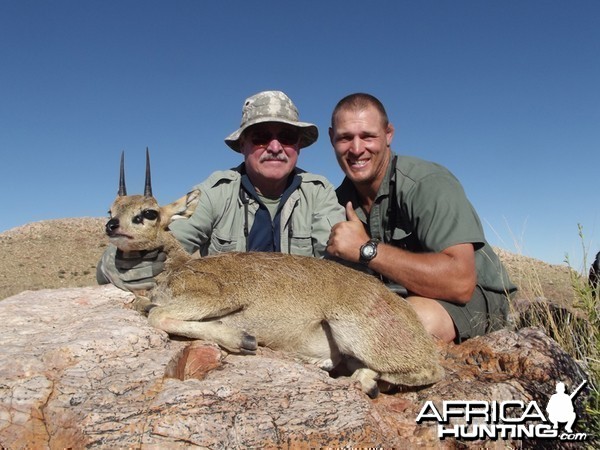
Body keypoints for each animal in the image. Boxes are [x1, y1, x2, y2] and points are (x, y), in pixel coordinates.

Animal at [105, 152, 442, 398]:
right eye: (111, 210)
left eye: (148, 213)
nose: (111, 226)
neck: (176, 266)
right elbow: (148, 308)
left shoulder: (216, 297)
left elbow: (158, 315)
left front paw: (241, 340)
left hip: (352, 331)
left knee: (430, 369)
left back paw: (364, 381)